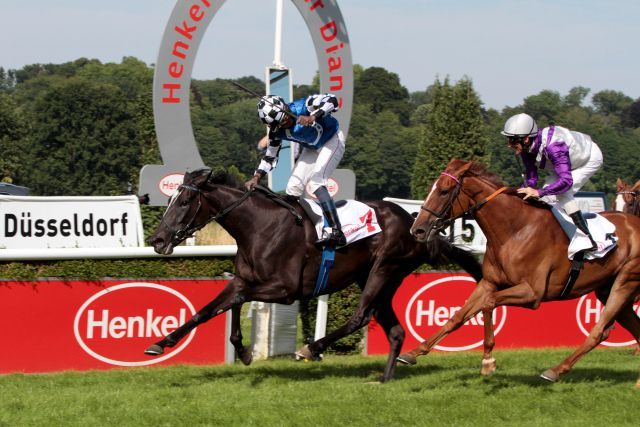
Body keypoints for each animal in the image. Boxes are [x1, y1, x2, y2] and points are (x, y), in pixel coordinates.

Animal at [146, 168, 484, 384]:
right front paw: (163, 343)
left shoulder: (284, 289)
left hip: (384, 269)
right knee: (396, 331)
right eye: (171, 200)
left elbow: (236, 299)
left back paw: (312, 347)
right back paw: (385, 379)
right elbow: (210, 309)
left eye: (185, 202)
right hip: (377, 280)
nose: (157, 240)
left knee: (360, 316)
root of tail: (416, 225)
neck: (259, 226)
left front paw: (244, 350)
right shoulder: (244, 279)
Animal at [396, 159, 640, 386]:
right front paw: (413, 353)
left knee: (598, 331)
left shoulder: (532, 293)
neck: (515, 230)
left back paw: (554, 371)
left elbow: (488, 304)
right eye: (432, 187)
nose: (417, 230)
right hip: (607, 289)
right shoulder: (489, 282)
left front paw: (487, 360)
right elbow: (457, 316)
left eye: (444, 191)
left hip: (625, 282)